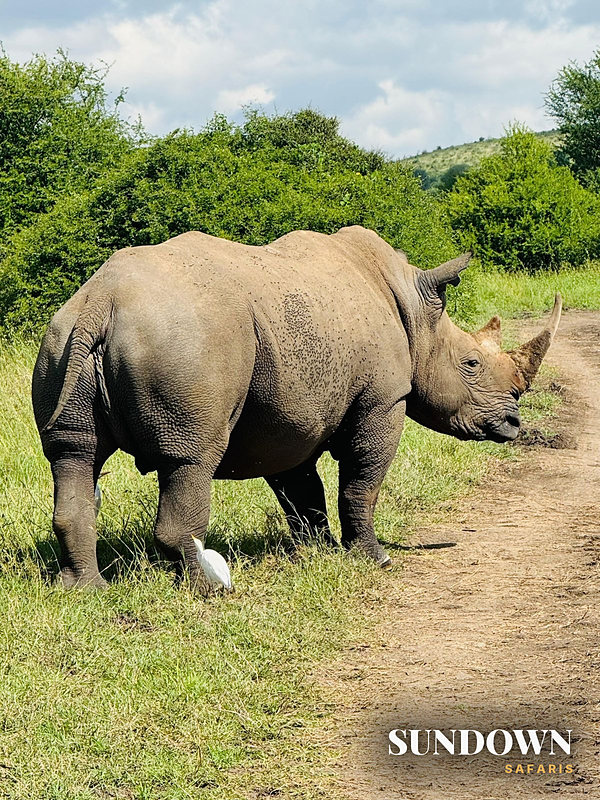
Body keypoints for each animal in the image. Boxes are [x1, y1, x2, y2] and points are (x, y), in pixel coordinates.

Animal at [32, 226, 561, 589]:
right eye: (471, 363)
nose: (513, 423)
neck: (414, 310)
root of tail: (102, 301)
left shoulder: (287, 413)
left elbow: (302, 489)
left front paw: (318, 552)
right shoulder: (383, 400)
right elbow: (361, 481)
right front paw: (373, 558)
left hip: (61, 338)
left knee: (73, 455)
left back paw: (85, 590)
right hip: (188, 340)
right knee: (191, 457)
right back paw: (206, 591)